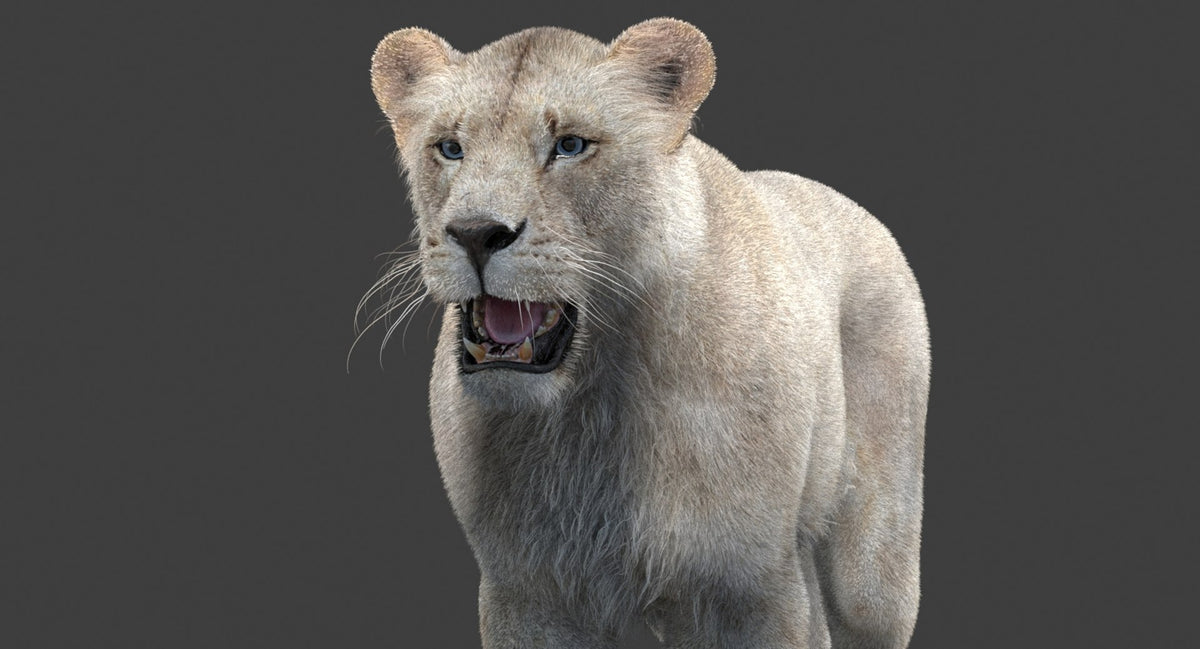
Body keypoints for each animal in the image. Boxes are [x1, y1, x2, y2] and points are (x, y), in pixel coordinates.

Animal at [365, 18, 930, 649]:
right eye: (450, 147)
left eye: (570, 146)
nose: (475, 233)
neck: (588, 409)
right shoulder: (527, 591)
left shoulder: (750, 586)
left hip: (872, 566)